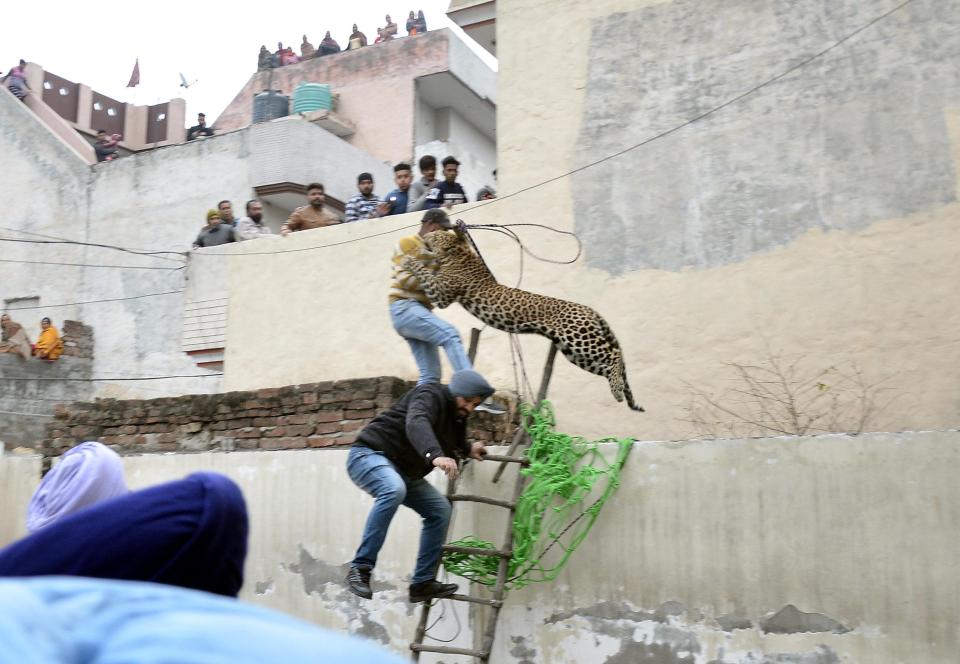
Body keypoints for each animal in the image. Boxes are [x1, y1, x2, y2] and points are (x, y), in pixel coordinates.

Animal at [400, 231, 644, 412]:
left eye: (435, 234)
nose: (424, 234)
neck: (457, 253)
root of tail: (589, 309)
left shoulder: (441, 294)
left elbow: (424, 272)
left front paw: (409, 259)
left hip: (578, 340)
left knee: (615, 354)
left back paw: (616, 390)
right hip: (574, 353)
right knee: (608, 366)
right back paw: (620, 392)